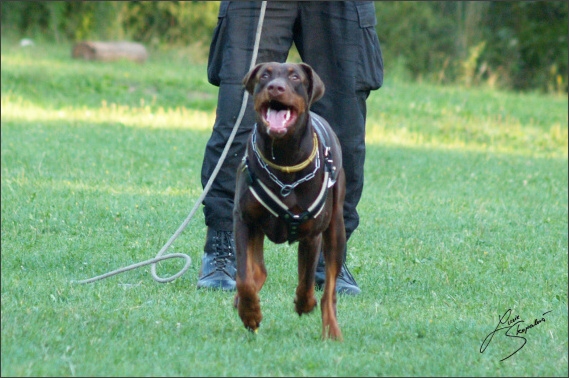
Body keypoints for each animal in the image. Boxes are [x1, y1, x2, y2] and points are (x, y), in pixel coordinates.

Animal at [232, 62, 346, 340]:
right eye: (265, 75)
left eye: (295, 77)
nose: (276, 87)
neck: (284, 160)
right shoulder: (244, 220)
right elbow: (244, 278)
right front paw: (250, 313)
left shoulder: (312, 232)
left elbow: (307, 281)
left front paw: (305, 303)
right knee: (258, 271)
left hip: (336, 228)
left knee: (330, 288)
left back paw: (332, 330)